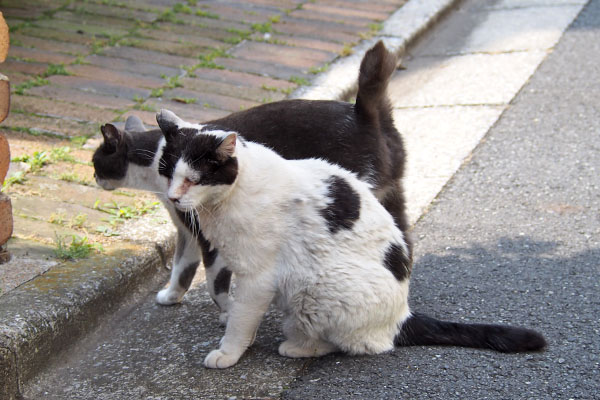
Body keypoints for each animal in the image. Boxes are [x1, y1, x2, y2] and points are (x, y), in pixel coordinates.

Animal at [94, 40, 410, 322]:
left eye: (95, 161)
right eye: (167, 170)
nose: (95, 177)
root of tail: (365, 115)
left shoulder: (206, 234)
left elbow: (213, 281)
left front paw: (229, 312)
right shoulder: (186, 229)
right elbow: (181, 267)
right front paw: (172, 295)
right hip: (392, 198)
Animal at [157, 108, 548, 368]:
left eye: (193, 179)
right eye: (166, 172)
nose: (173, 198)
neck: (225, 202)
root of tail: (403, 315)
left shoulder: (258, 277)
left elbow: (241, 319)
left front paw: (228, 352)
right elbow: (224, 297)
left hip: (316, 286)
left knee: (357, 344)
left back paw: (299, 346)